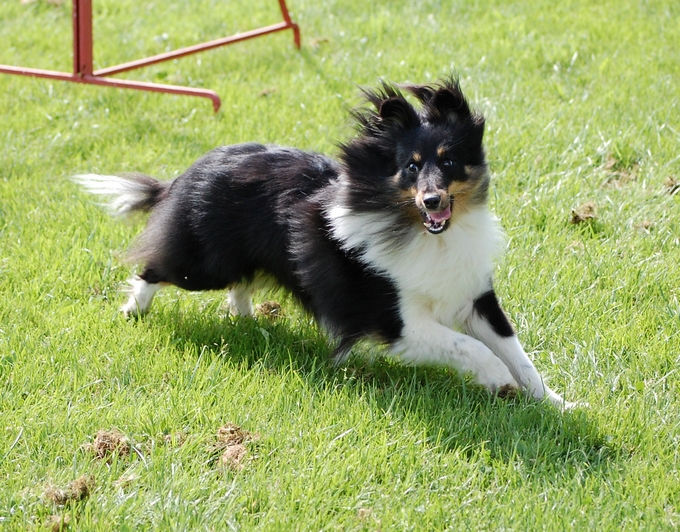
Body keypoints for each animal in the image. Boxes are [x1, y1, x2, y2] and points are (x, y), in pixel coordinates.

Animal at [74, 77, 571, 408]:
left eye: (449, 161)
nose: (432, 201)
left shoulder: (475, 296)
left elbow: (517, 352)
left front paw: (557, 402)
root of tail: (188, 173)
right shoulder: (398, 320)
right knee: (154, 266)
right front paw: (499, 382)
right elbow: (471, 348)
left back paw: (245, 317)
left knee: (240, 282)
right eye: (410, 167)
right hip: (202, 264)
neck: (422, 231)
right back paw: (134, 308)